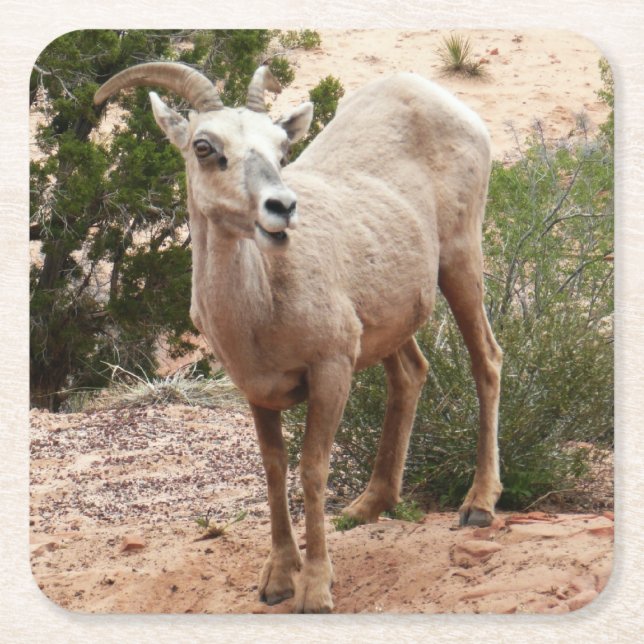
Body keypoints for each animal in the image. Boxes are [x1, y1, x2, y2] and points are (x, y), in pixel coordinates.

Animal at [94, 61, 503, 613]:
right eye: (204, 146)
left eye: (281, 150)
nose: (282, 207)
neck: (261, 307)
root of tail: (432, 93)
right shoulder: (257, 390)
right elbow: (273, 470)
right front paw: (276, 582)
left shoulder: (331, 371)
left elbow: (312, 469)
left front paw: (315, 589)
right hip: (391, 318)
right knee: (411, 375)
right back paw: (366, 507)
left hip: (460, 260)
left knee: (487, 361)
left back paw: (478, 506)